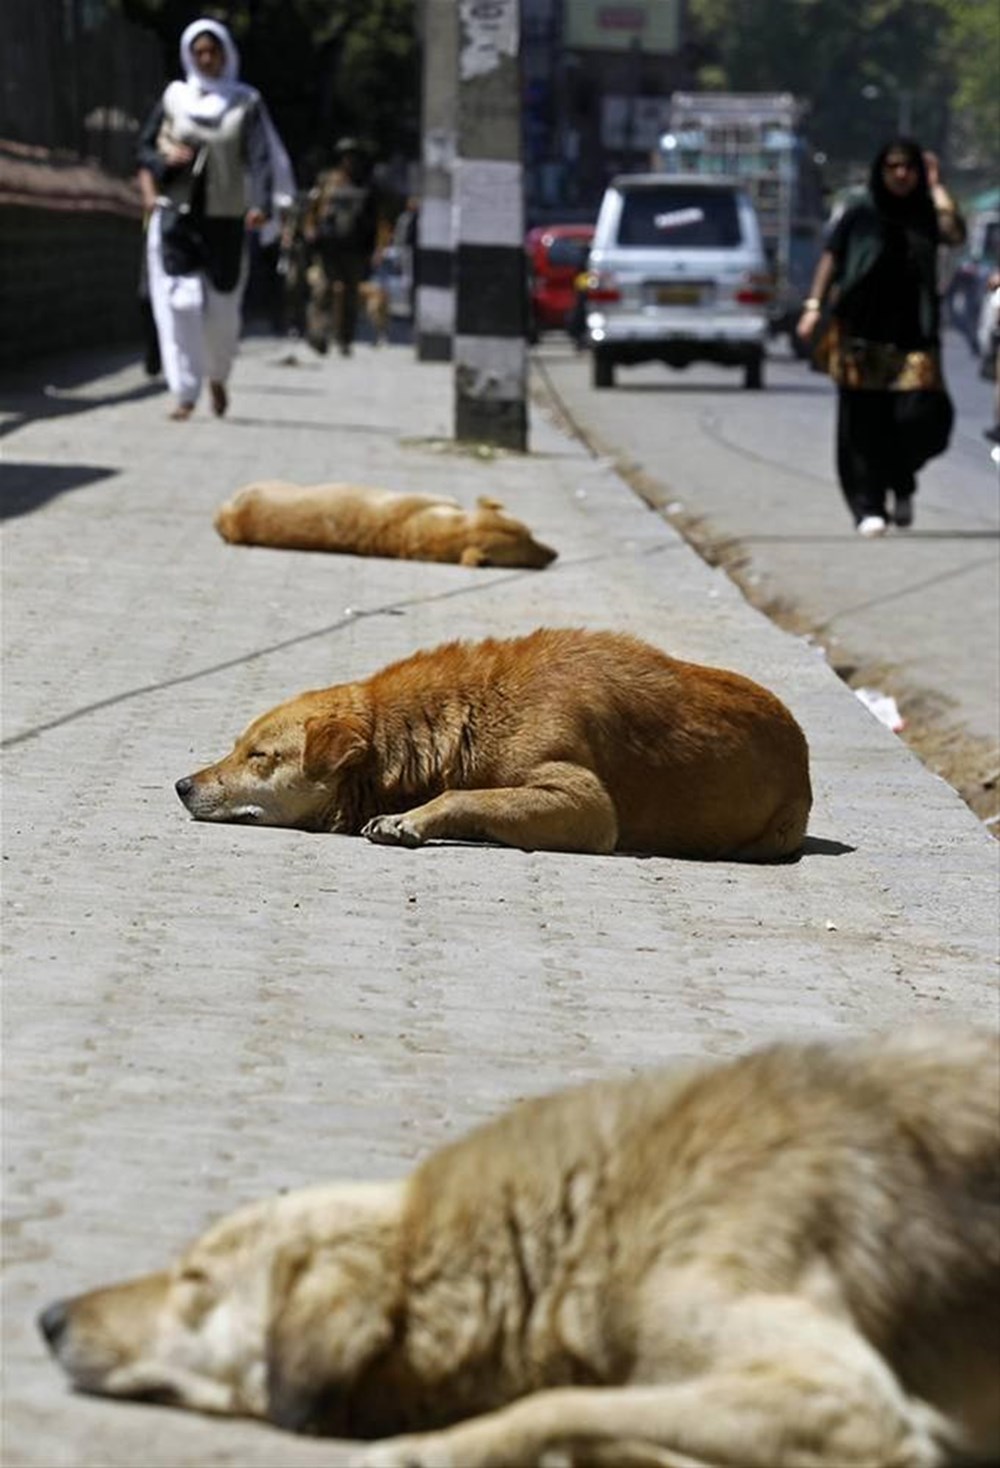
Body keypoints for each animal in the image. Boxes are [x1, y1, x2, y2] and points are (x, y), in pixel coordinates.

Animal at [40, 1027, 998, 1462]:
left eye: (195, 1278)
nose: (46, 1318)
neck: (594, 1228)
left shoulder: (843, 1392)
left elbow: (554, 1405)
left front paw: (434, 1450)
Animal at [171, 628, 810, 857]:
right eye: (237, 745)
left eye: (259, 756)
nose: (181, 785)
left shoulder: (587, 804)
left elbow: (463, 796)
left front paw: (408, 819)